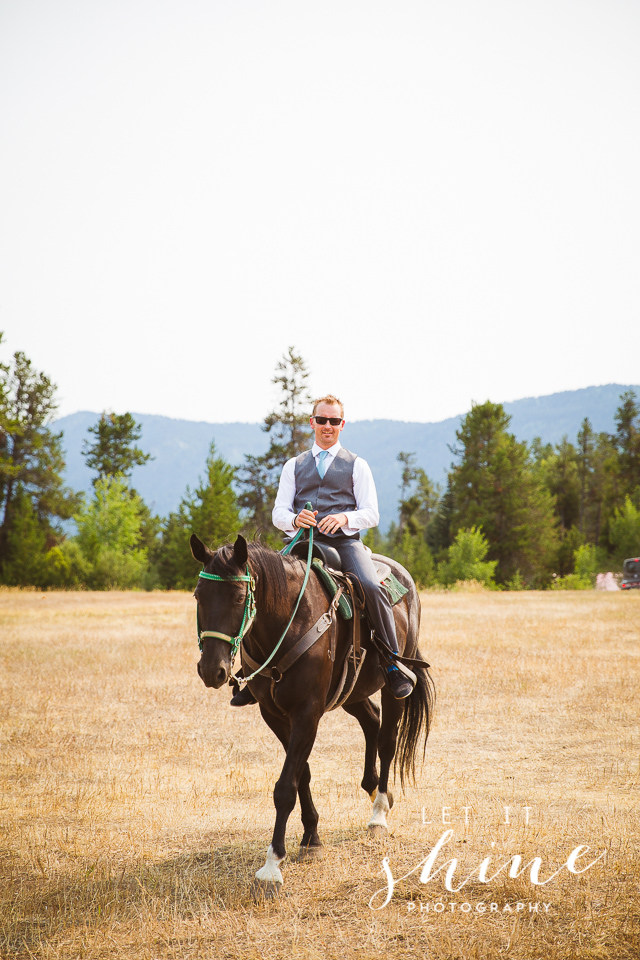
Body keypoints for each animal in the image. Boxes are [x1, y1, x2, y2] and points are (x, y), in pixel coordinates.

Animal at [190, 532, 436, 892]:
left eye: (238, 597)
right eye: (198, 595)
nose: (212, 670)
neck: (287, 623)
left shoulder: (308, 712)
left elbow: (284, 787)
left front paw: (272, 865)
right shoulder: (275, 715)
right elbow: (300, 774)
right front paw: (311, 837)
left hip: (393, 688)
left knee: (388, 739)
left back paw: (379, 812)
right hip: (352, 692)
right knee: (371, 721)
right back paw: (372, 787)